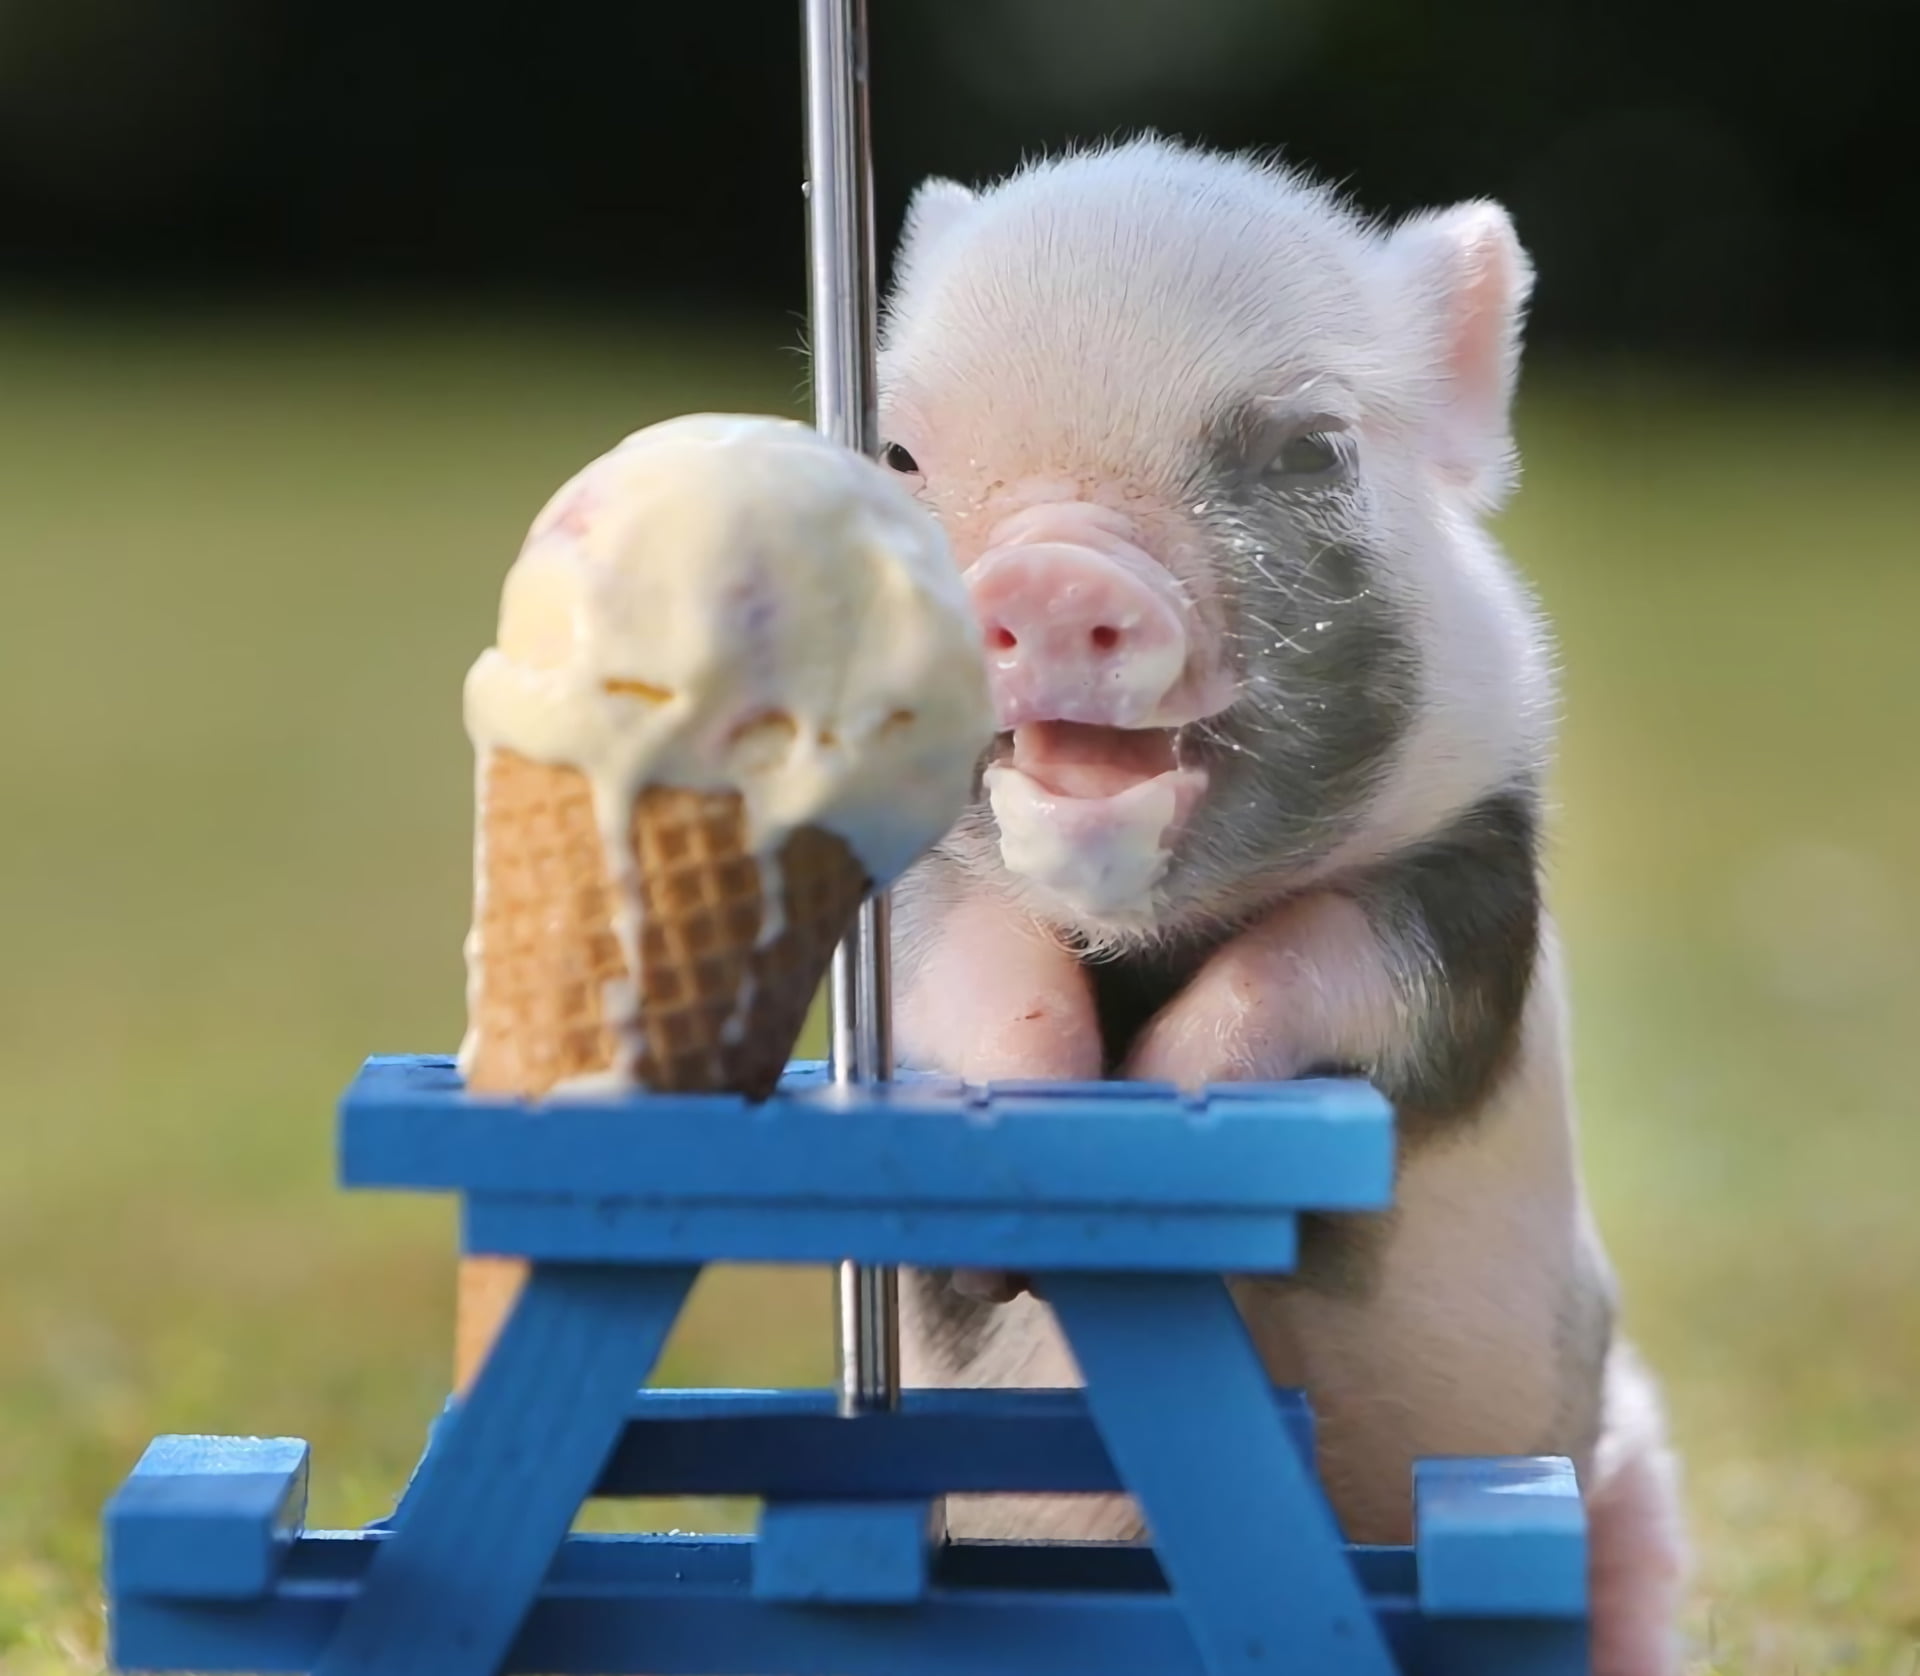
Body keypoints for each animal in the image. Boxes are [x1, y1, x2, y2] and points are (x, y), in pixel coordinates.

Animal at [874, 136, 1689, 1676]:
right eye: (896, 456)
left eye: (1311, 449)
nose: (1054, 567)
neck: (1141, 943)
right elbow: (962, 961)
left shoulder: (1477, 890)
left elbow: (1327, 962)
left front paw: (1171, 1089)